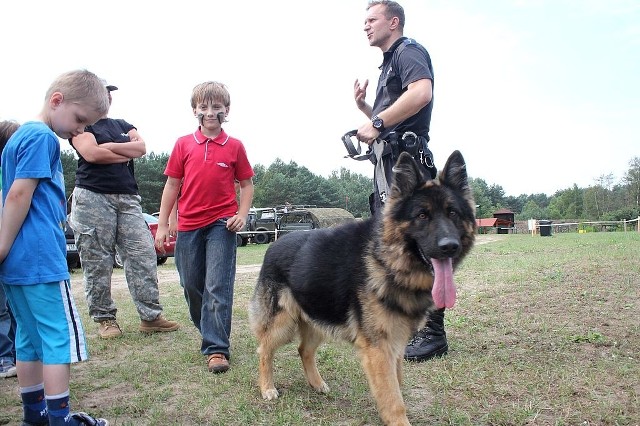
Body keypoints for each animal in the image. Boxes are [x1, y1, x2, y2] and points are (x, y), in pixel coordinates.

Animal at [249, 151, 476, 426]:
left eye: (453, 213)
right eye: (422, 215)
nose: (449, 246)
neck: (386, 259)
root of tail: (275, 242)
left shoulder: (395, 344)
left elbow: (396, 386)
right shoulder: (379, 349)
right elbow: (393, 398)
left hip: (317, 319)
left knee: (304, 350)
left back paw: (316, 384)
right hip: (282, 323)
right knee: (264, 350)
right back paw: (267, 387)